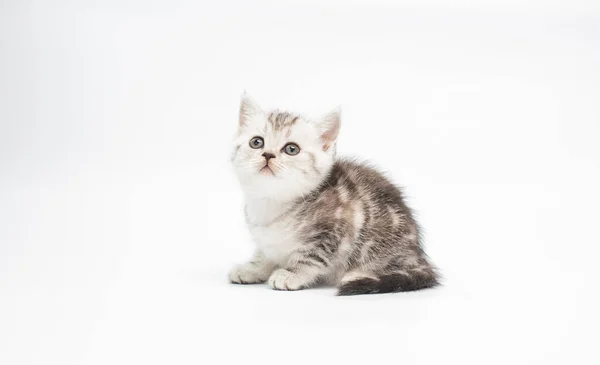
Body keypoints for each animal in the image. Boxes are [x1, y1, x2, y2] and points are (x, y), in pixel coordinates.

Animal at [227, 92, 438, 294]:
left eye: (291, 149)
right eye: (256, 142)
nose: (268, 155)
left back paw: (359, 275)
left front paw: (292, 274)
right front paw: (253, 268)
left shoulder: (334, 230)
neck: (272, 203)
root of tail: (418, 255)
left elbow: (311, 257)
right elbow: (264, 253)